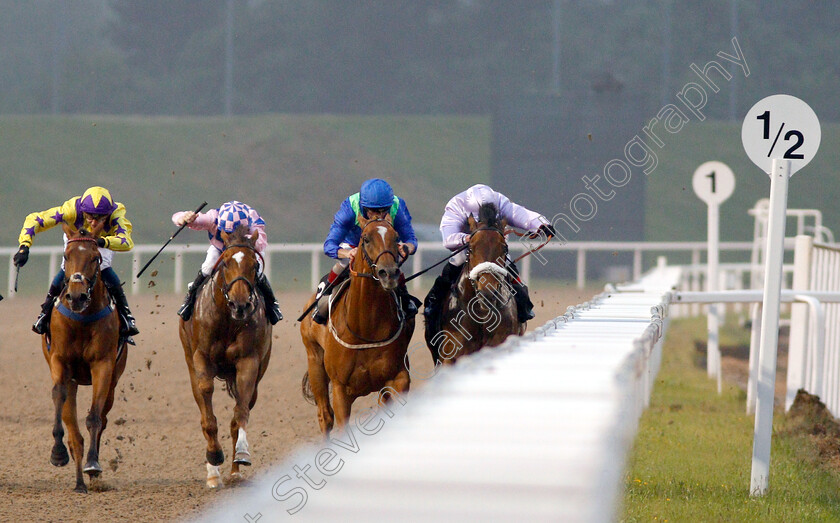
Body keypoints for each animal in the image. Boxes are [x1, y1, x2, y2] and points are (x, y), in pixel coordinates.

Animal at [43, 223, 126, 494]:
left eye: (95, 258)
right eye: (66, 256)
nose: (77, 296)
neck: (82, 319)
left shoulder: (103, 366)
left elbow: (94, 417)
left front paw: (93, 464)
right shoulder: (60, 360)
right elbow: (59, 396)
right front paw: (58, 453)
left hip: (113, 379)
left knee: (103, 417)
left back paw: (90, 473)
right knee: (73, 429)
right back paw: (78, 481)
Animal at [179, 226, 270, 492]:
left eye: (254, 265)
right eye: (227, 262)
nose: (241, 305)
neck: (228, 320)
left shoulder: (249, 362)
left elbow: (240, 413)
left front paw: (241, 455)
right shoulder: (201, 358)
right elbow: (208, 412)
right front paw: (214, 458)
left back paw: (235, 471)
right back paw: (213, 473)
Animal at [300, 213, 416, 438]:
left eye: (396, 237)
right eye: (366, 239)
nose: (389, 273)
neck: (367, 328)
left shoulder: (398, 378)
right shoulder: (341, 389)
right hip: (314, 359)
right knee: (325, 416)